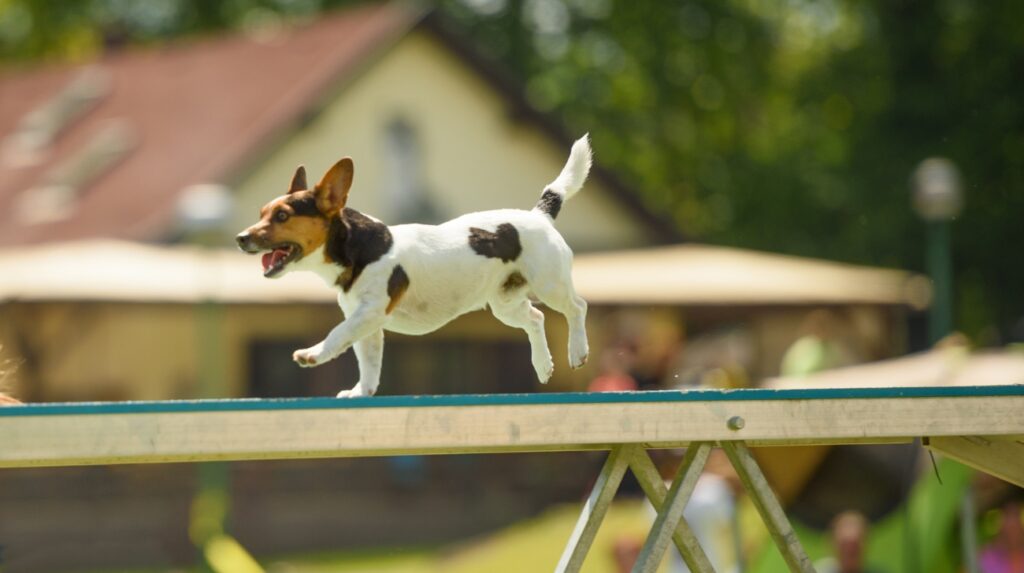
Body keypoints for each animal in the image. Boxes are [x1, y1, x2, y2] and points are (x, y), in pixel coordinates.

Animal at [236, 135, 593, 397]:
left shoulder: (369, 312)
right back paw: (543, 365)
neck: (358, 249)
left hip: (550, 284)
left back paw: (577, 351)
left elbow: (338, 334)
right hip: (505, 303)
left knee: (577, 307)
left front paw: (314, 353)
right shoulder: (367, 324)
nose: (241, 238)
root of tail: (539, 215)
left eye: (282, 216)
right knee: (536, 318)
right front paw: (360, 393)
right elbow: (368, 365)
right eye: (262, 213)